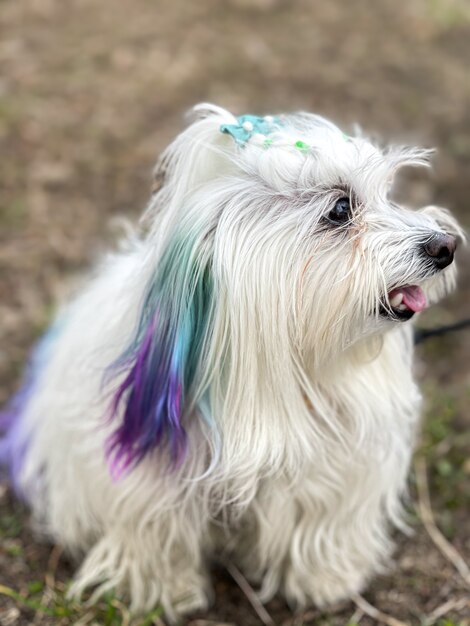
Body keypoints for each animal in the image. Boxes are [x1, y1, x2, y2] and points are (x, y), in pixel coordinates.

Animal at [0, 102, 462, 616]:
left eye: (387, 194)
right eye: (341, 209)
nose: (445, 246)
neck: (282, 363)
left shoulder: (332, 461)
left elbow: (320, 517)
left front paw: (325, 580)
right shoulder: (148, 475)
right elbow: (157, 531)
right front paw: (170, 592)